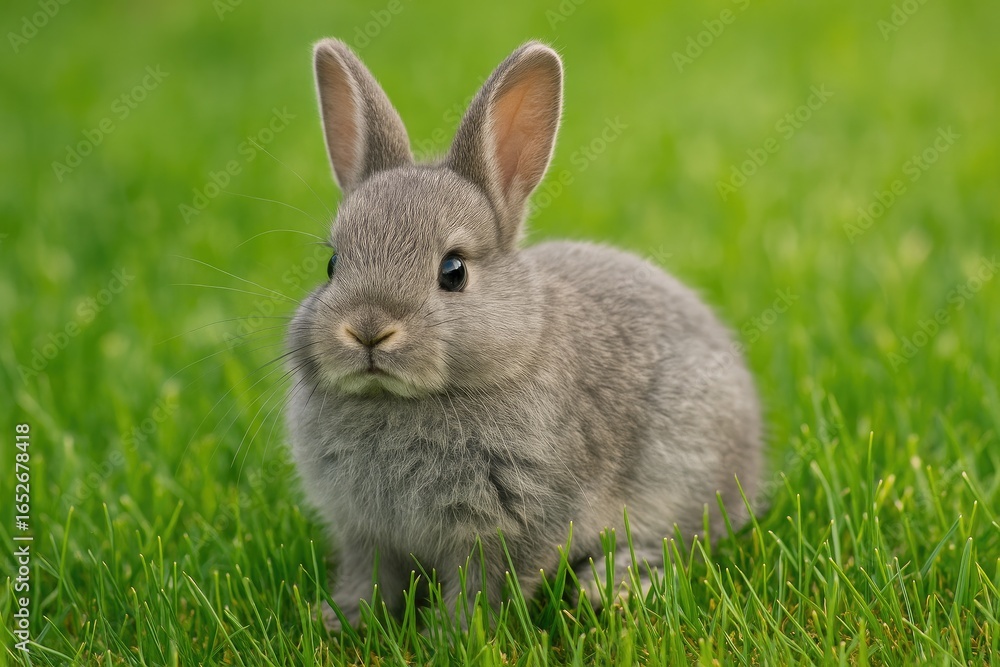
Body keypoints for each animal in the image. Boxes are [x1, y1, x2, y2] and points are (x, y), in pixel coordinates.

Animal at [285, 38, 762, 630]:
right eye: (332, 264)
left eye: (453, 270)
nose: (368, 330)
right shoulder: (364, 533)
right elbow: (370, 578)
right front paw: (341, 621)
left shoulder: (512, 524)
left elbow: (483, 587)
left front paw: (453, 635)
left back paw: (613, 588)